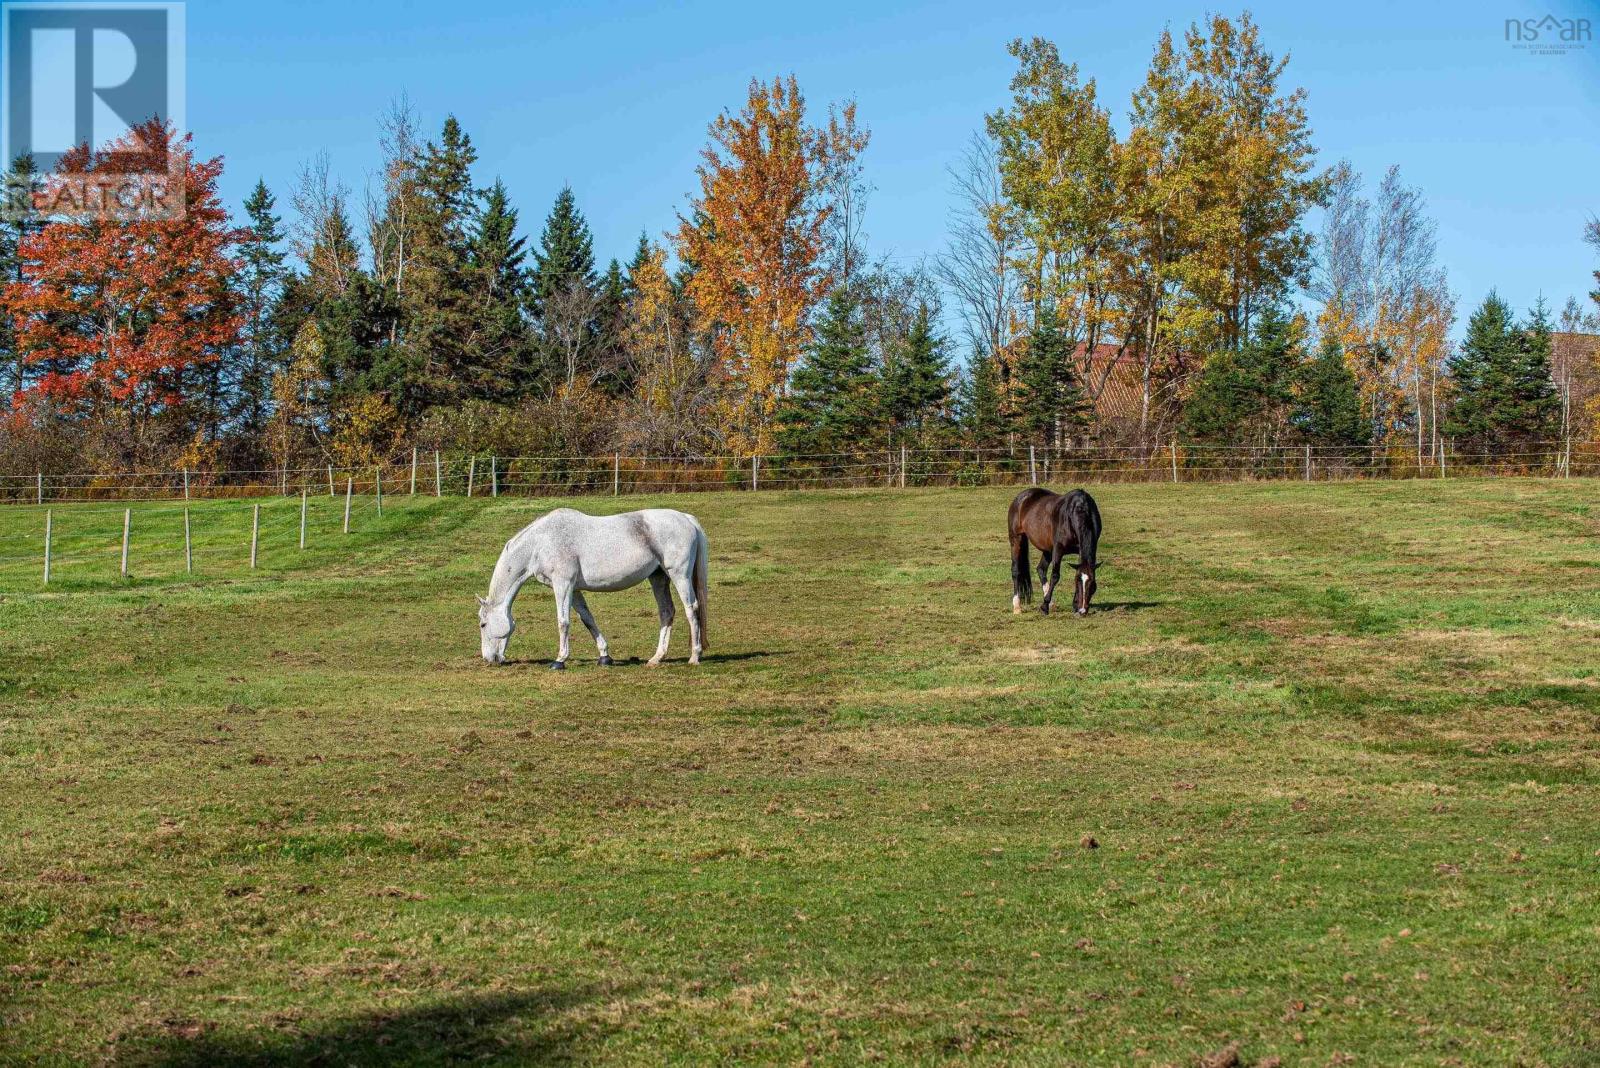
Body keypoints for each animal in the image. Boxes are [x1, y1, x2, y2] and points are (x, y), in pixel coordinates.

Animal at [476, 508, 710, 668]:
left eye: (483, 624)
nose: (490, 659)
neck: (540, 542)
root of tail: (686, 519)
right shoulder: (574, 589)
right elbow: (588, 619)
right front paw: (605, 656)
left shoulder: (563, 585)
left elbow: (563, 622)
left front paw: (559, 660)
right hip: (659, 578)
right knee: (667, 612)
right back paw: (656, 658)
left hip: (679, 575)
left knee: (692, 609)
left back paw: (694, 656)